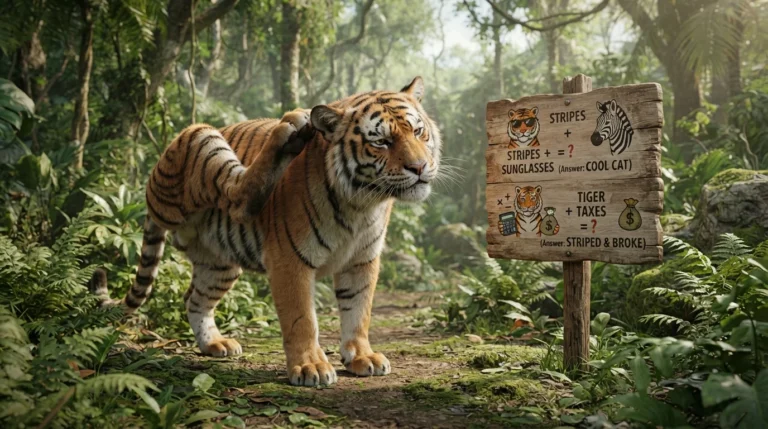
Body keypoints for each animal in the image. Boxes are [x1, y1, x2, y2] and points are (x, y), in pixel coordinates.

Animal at [89, 77, 441, 387]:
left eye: (418, 131)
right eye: (381, 141)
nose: (420, 167)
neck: (363, 203)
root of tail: (151, 198)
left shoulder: (362, 261)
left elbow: (359, 311)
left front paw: (362, 357)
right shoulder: (290, 259)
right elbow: (302, 319)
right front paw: (310, 367)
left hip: (220, 263)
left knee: (194, 299)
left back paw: (214, 344)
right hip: (198, 142)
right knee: (238, 197)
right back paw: (290, 128)